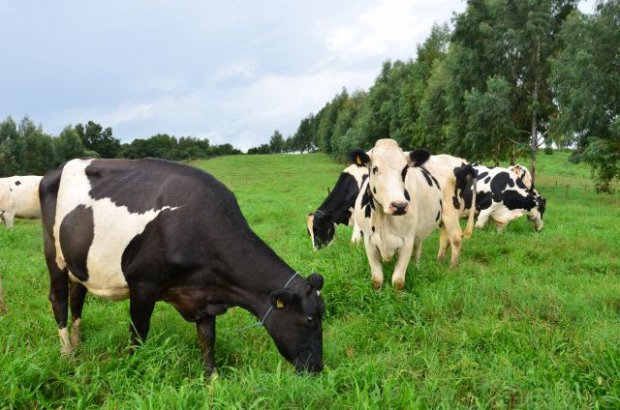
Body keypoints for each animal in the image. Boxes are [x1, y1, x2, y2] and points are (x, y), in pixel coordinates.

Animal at [39, 159, 326, 376]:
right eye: (310, 319)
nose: (318, 367)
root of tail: (54, 171)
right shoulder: (143, 285)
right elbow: (138, 333)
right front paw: (133, 369)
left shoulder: (204, 294)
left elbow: (208, 339)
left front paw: (212, 380)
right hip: (54, 256)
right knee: (59, 299)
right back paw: (67, 354)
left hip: (79, 264)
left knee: (77, 298)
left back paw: (77, 344)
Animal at [352, 139, 444, 290]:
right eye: (375, 168)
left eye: (405, 170)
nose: (399, 206)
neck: (383, 219)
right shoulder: (368, 239)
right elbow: (377, 279)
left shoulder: (407, 240)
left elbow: (398, 281)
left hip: (419, 235)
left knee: (417, 250)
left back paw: (416, 267)